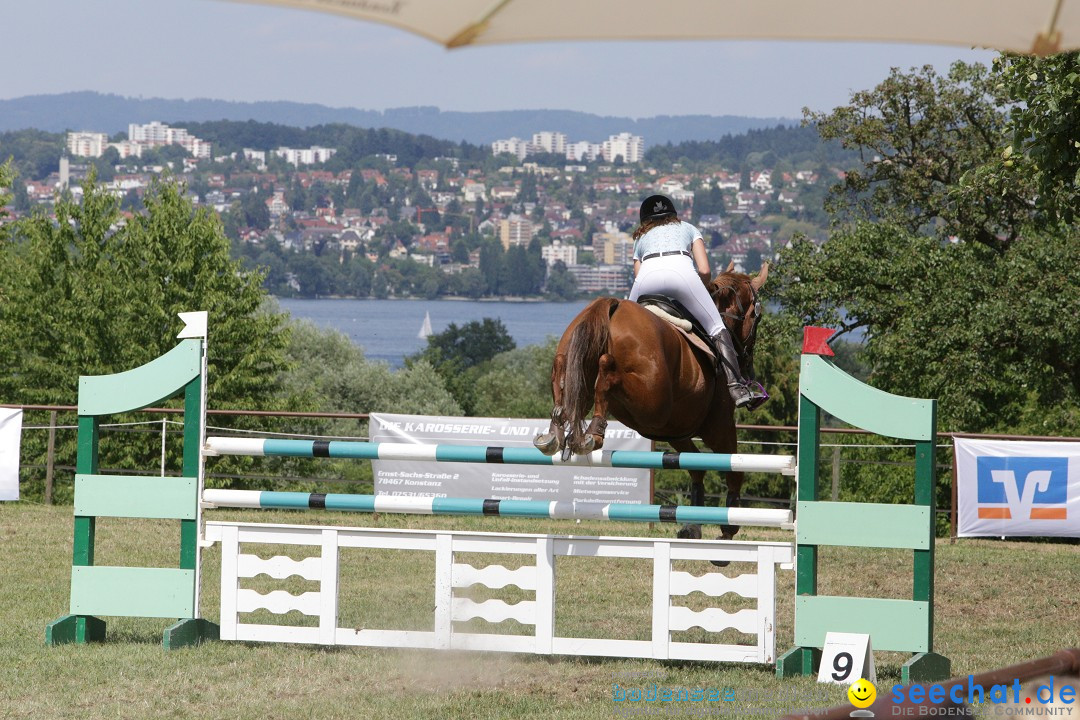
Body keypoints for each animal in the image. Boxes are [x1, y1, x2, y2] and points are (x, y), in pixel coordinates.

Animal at [531, 263, 768, 539]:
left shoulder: (676, 430)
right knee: (607, 372)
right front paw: (728, 528)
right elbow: (734, 471)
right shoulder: (718, 427)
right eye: (756, 317)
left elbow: (697, 468)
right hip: (653, 403)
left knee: (566, 378)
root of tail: (611, 305)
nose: (748, 366)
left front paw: (693, 526)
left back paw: (556, 430)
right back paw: (594, 432)